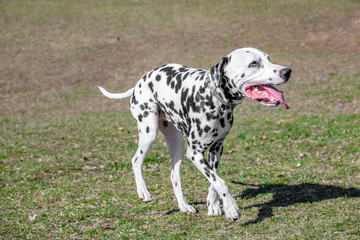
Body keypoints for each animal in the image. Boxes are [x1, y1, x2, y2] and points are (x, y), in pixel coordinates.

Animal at [98, 47, 290, 221]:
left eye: (268, 58)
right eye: (254, 63)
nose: (287, 71)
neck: (214, 100)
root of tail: (141, 80)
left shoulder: (217, 149)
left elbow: (214, 180)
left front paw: (215, 206)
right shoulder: (195, 152)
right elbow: (220, 182)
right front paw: (232, 208)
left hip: (178, 146)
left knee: (174, 175)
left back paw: (183, 205)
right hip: (149, 132)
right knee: (136, 160)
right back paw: (143, 191)